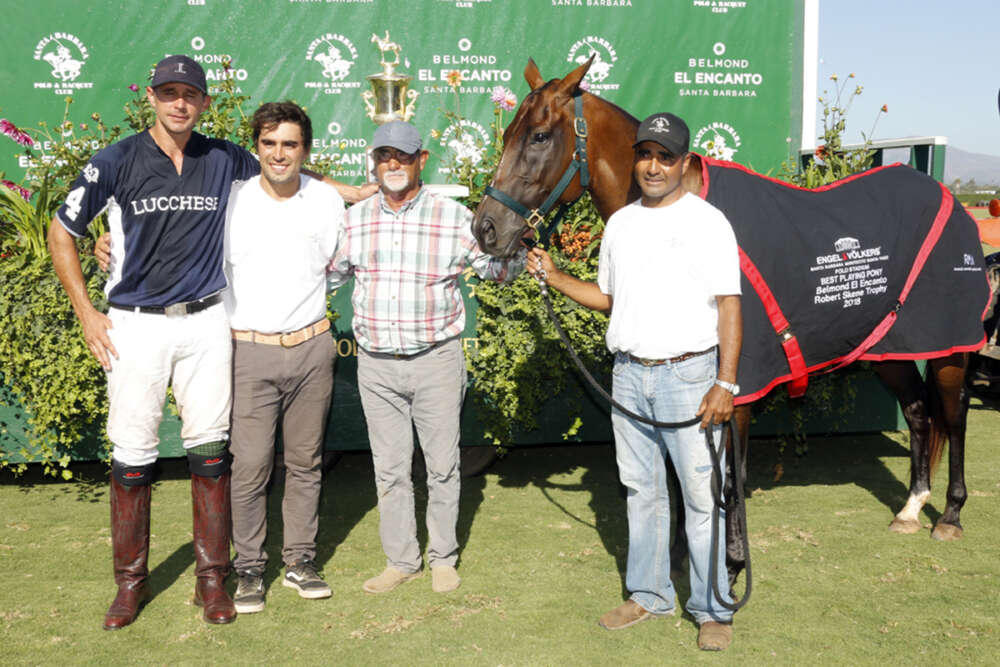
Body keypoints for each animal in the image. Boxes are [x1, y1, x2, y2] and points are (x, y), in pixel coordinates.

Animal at [470, 57, 992, 588]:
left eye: (538, 136)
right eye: (507, 131)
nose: (485, 228)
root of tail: (950, 199)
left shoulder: (735, 387)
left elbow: (727, 477)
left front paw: (732, 565)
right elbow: (681, 474)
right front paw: (682, 553)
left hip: (950, 345)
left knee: (955, 414)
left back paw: (950, 515)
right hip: (889, 345)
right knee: (919, 412)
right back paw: (911, 507)